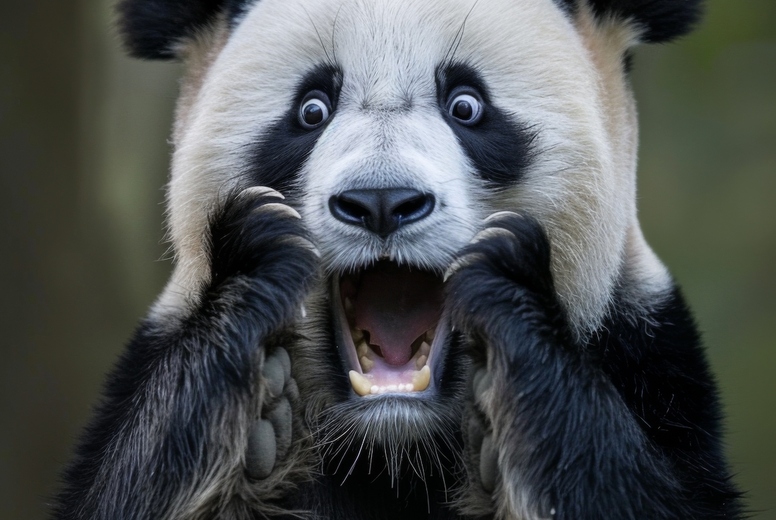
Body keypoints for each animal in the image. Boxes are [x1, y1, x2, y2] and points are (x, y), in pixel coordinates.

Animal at [54, 0, 743, 518]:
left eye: (466, 105)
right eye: (311, 109)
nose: (381, 201)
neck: (394, 447)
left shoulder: (652, 358)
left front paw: (504, 287)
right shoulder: (151, 357)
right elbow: (131, 479)